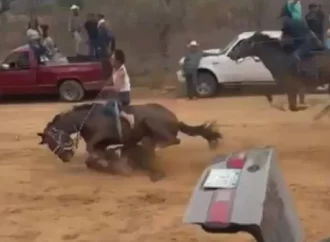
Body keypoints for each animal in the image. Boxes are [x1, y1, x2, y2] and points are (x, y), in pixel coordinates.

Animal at [36, 101, 222, 181]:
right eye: (49, 145)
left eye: (53, 140)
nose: (65, 157)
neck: (89, 120)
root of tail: (175, 119)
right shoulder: (103, 144)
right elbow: (94, 157)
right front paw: (118, 164)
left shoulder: (100, 140)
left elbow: (93, 152)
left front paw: (120, 165)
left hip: (152, 122)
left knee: (172, 140)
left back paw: (149, 147)